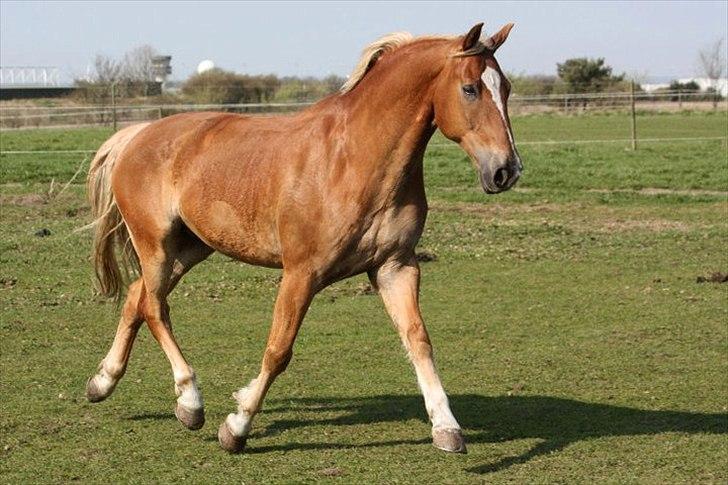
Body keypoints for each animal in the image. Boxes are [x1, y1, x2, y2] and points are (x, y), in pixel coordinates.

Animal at [84, 22, 516, 454]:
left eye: (507, 88)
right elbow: (279, 350)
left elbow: (418, 340)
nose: (506, 170)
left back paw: (103, 382)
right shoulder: (301, 273)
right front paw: (237, 426)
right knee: (155, 307)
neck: (355, 159)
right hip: (156, 244)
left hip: (190, 248)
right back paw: (190, 401)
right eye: (470, 89)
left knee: (136, 298)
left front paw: (447, 427)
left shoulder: (395, 266)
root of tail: (137, 135)